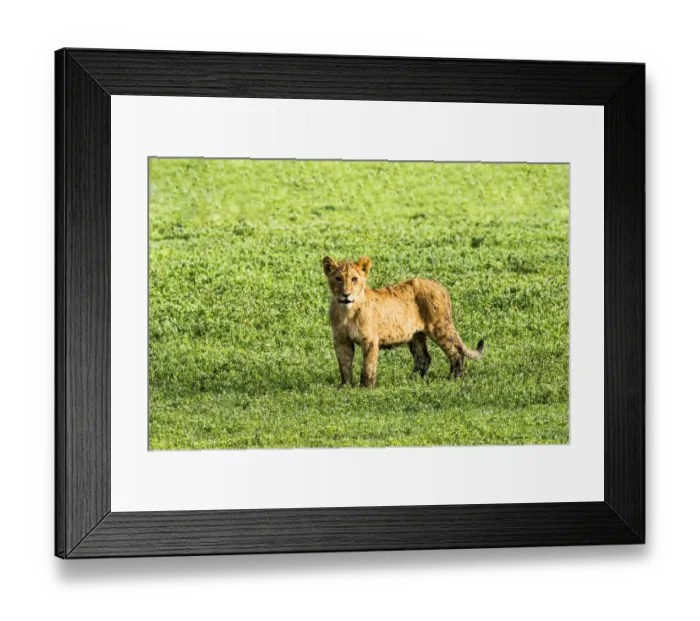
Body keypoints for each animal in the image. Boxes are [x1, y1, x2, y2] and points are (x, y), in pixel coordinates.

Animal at [322, 255, 484, 387]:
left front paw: (365, 388)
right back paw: (412, 380)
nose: (346, 295)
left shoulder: (369, 340)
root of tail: (440, 286)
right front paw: (345, 386)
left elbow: (368, 366)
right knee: (423, 358)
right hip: (416, 335)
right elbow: (344, 365)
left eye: (354, 279)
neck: (346, 312)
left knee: (456, 352)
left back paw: (455, 378)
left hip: (440, 327)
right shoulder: (341, 340)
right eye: (338, 278)